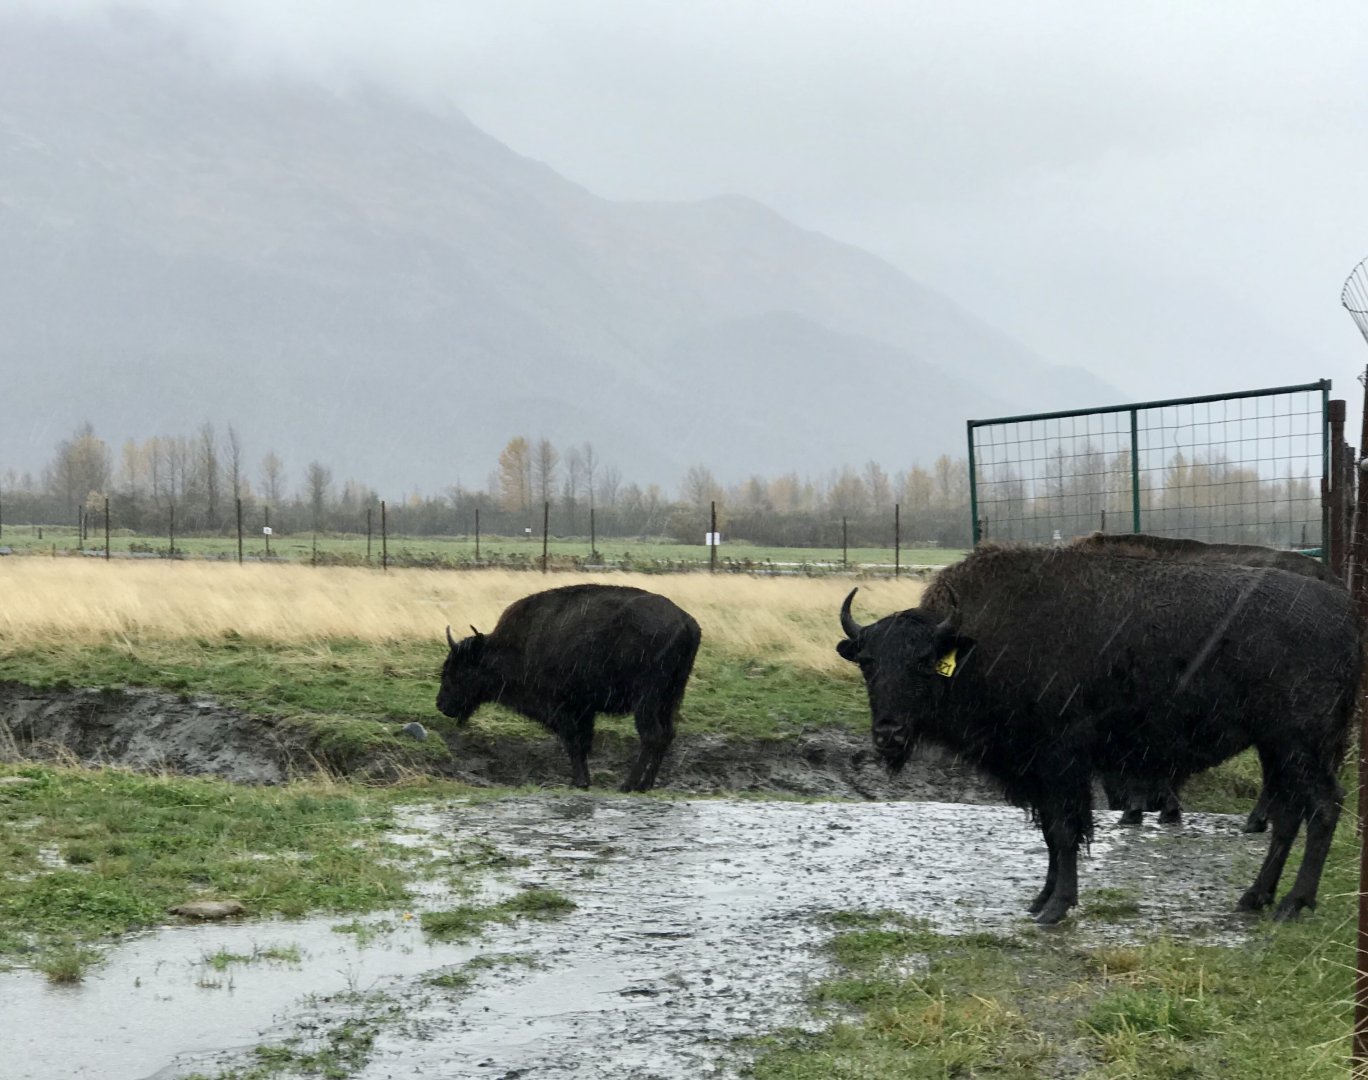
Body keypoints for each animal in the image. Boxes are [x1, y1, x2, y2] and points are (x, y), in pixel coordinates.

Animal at [437, 584, 701, 792]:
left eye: (459, 669)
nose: (441, 704)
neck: (518, 647)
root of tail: (686, 622)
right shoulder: (584, 710)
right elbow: (582, 743)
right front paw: (584, 780)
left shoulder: (563, 707)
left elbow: (573, 741)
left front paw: (579, 782)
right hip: (671, 697)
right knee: (667, 734)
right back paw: (646, 784)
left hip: (647, 700)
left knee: (651, 735)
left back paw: (629, 785)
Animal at [838, 544, 1359, 924]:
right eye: (868, 663)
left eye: (924, 662)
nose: (888, 733)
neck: (977, 645)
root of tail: (1346, 612)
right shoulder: (1039, 773)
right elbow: (1051, 834)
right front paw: (1040, 900)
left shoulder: (1060, 762)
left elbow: (1065, 831)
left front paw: (1055, 908)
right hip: (1278, 747)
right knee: (1289, 813)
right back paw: (1255, 898)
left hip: (1302, 745)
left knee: (1323, 808)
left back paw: (1292, 905)